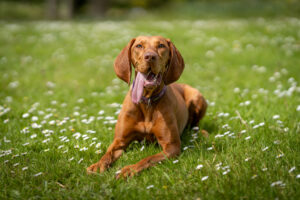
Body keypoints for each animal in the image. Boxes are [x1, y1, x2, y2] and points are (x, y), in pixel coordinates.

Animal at [87, 35, 206, 178]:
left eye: (161, 45)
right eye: (139, 46)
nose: (150, 57)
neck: (147, 102)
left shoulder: (171, 146)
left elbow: (148, 159)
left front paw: (129, 169)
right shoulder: (119, 141)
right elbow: (107, 154)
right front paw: (98, 165)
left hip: (197, 97)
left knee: (196, 124)